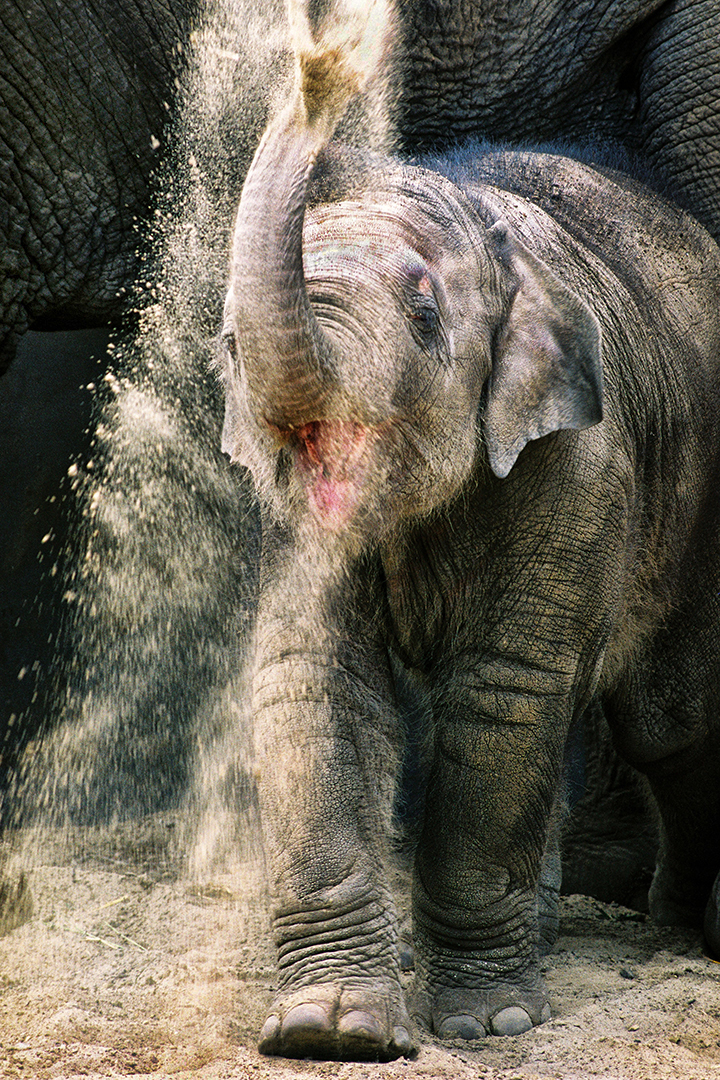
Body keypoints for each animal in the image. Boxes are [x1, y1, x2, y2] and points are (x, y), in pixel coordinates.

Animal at [219, 2, 720, 1061]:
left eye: (423, 314)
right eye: (232, 348)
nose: (322, 54)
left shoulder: (580, 457)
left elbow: (499, 695)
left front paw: (488, 1024)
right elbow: (311, 680)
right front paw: (328, 1033)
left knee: (672, 719)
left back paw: (683, 927)